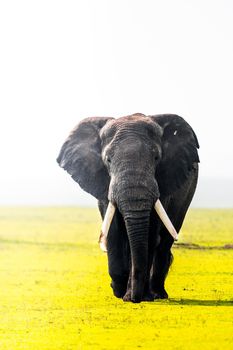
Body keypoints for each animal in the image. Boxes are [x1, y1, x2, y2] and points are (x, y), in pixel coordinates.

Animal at [57, 113, 199, 302]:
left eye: (156, 158)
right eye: (108, 160)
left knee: (165, 241)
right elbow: (113, 230)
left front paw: (135, 296)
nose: (135, 298)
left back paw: (157, 294)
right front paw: (119, 292)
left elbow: (150, 233)